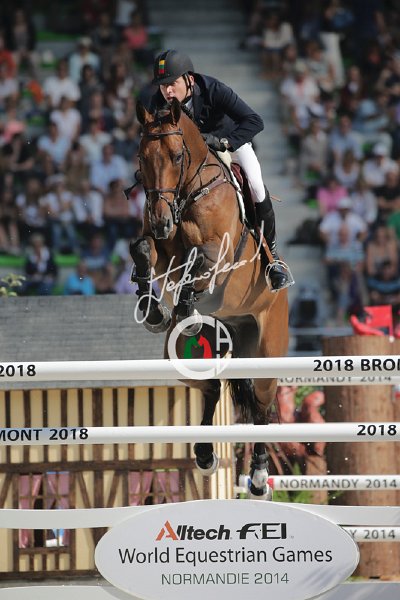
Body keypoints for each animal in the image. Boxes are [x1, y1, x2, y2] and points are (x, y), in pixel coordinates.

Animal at [129, 97, 289, 499]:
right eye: (141, 157)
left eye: (176, 156)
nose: (161, 221)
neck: (187, 194)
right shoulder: (161, 249)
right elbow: (142, 249)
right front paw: (153, 310)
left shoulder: (221, 252)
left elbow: (200, 259)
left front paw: (184, 304)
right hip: (187, 355)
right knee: (212, 386)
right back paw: (204, 454)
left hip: (267, 349)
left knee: (261, 406)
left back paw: (259, 477)